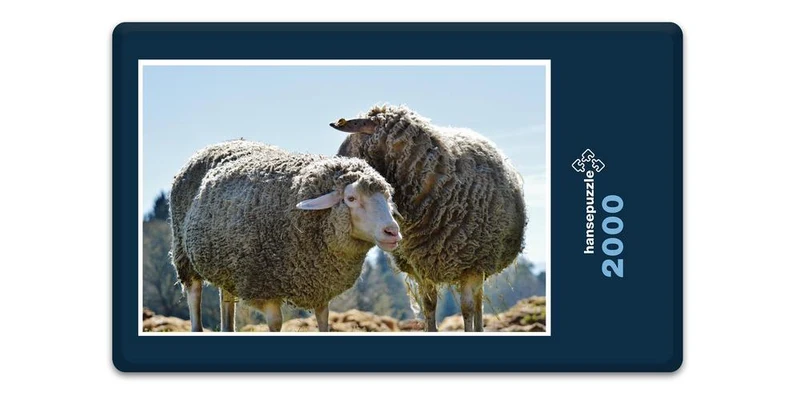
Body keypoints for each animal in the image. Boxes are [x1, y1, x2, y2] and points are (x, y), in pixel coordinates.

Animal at [169, 139, 402, 332]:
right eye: (351, 198)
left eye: (387, 197)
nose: (392, 231)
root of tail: (213, 146)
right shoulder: (264, 285)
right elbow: (275, 323)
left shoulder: (319, 283)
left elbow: (323, 319)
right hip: (183, 253)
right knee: (194, 295)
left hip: (227, 266)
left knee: (226, 304)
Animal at [331, 105, 526, 332]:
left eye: (349, 143)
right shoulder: (422, 268)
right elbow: (429, 305)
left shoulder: (471, 264)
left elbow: (466, 308)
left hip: (482, 263)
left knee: (477, 303)